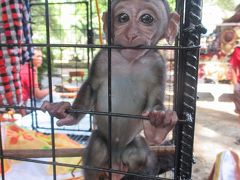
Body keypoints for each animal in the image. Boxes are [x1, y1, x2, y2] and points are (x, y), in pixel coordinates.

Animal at [42, 0, 179, 179]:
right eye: (123, 18)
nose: (131, 34)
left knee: (140, 153)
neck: (130, 61)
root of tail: (115, 161)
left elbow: (155, 97)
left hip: (129, 151)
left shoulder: (158, 65)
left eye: (146, 19)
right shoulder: (102, 58)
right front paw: (67, 114)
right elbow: (92, 86)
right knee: (97, 148)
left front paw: (158, 127)